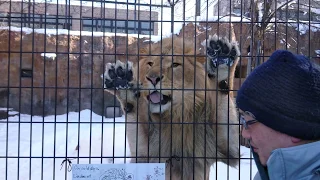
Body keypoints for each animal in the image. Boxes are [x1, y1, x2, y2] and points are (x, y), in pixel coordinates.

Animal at [102, 34, 240, 179]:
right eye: (150, 64)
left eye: (175, 65)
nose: (152, 78)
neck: (174, 115)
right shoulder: (144, 154)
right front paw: (122, 83)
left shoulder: (225, 150)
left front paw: (222, 61)